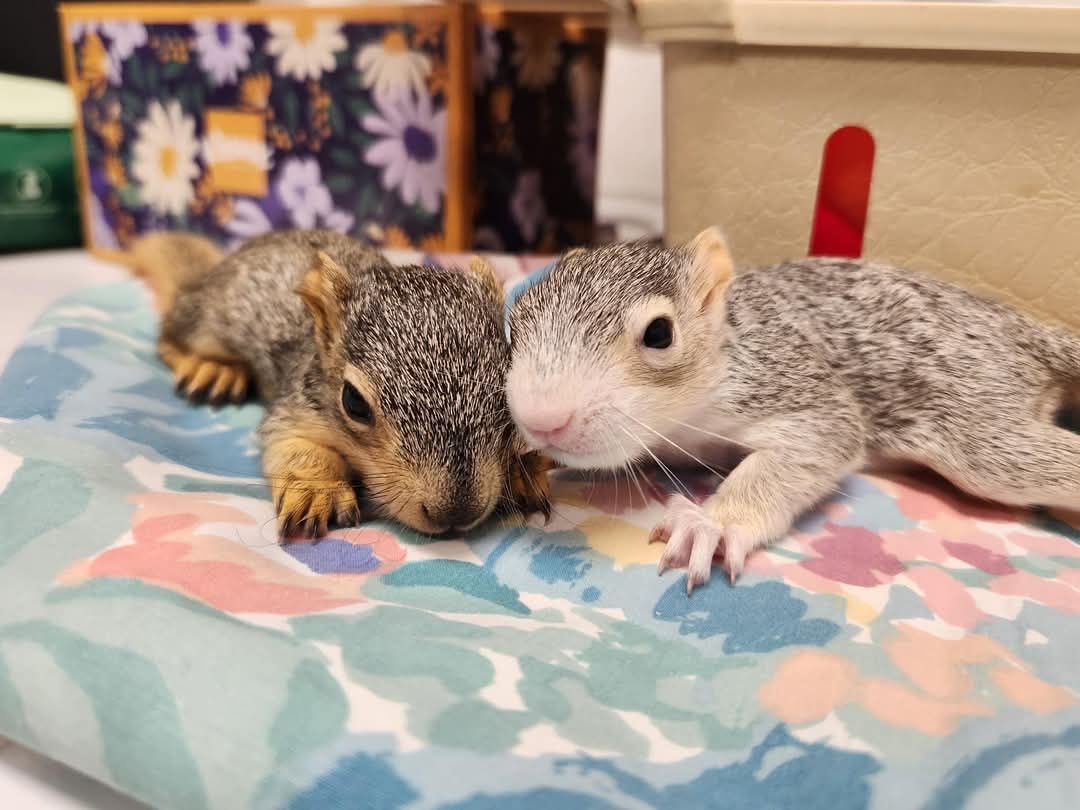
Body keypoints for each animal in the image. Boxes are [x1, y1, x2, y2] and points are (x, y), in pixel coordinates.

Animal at [128, 228, 553, 538]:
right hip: (207, 322)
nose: (456, 511)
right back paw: (214, 369)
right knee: (171, 336)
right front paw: (318, 489)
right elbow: (296, 446)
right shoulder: (295, 407)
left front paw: (521, 470)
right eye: (354, 402)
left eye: (508, 390)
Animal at [505, 227, 1080, 592]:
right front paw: (522, 465)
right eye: (518, 318)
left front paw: (713, 524)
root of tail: (1024, 333)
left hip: (980, 423)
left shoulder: (787, 382)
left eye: (660, 334)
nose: (542, 419)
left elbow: (824, 436)